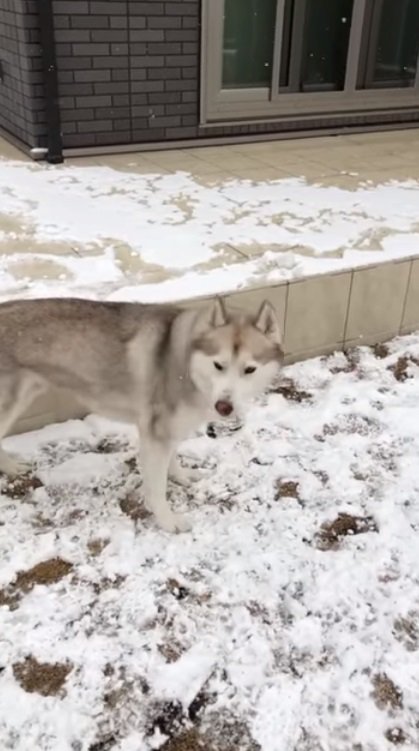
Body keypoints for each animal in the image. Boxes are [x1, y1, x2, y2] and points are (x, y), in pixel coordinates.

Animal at [0, 296, 286, 532]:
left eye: (250, 369)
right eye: (218, 365)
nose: (223, 407)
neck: (184, 362)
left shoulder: (169, 430)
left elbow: (173, 460)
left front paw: (181, 477)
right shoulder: (156, 433)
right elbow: (157, 488)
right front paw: (168, 521)